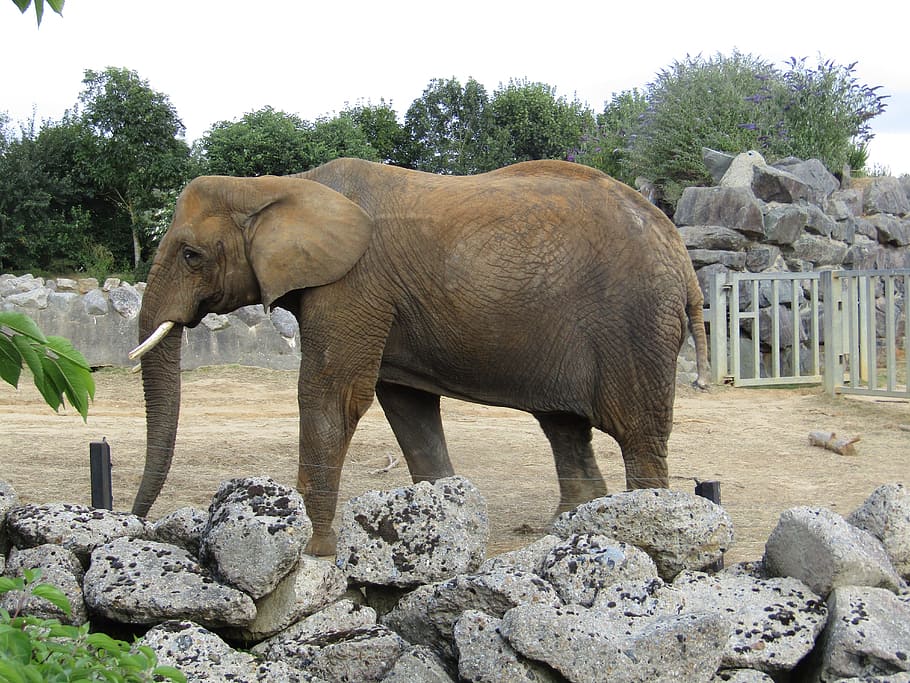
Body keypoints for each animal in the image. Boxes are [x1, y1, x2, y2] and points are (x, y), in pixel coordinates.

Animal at [130, 157, 709, 556]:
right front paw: (439, 526)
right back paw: (566, 532)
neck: (279, 184)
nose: (135, 524)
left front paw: (312, 552)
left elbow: (332, 396)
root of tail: (680, 253)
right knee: (565, 427)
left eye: (191, 255)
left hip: (636, 325)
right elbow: (406, 407)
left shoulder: (352, 284)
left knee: (638, 436)